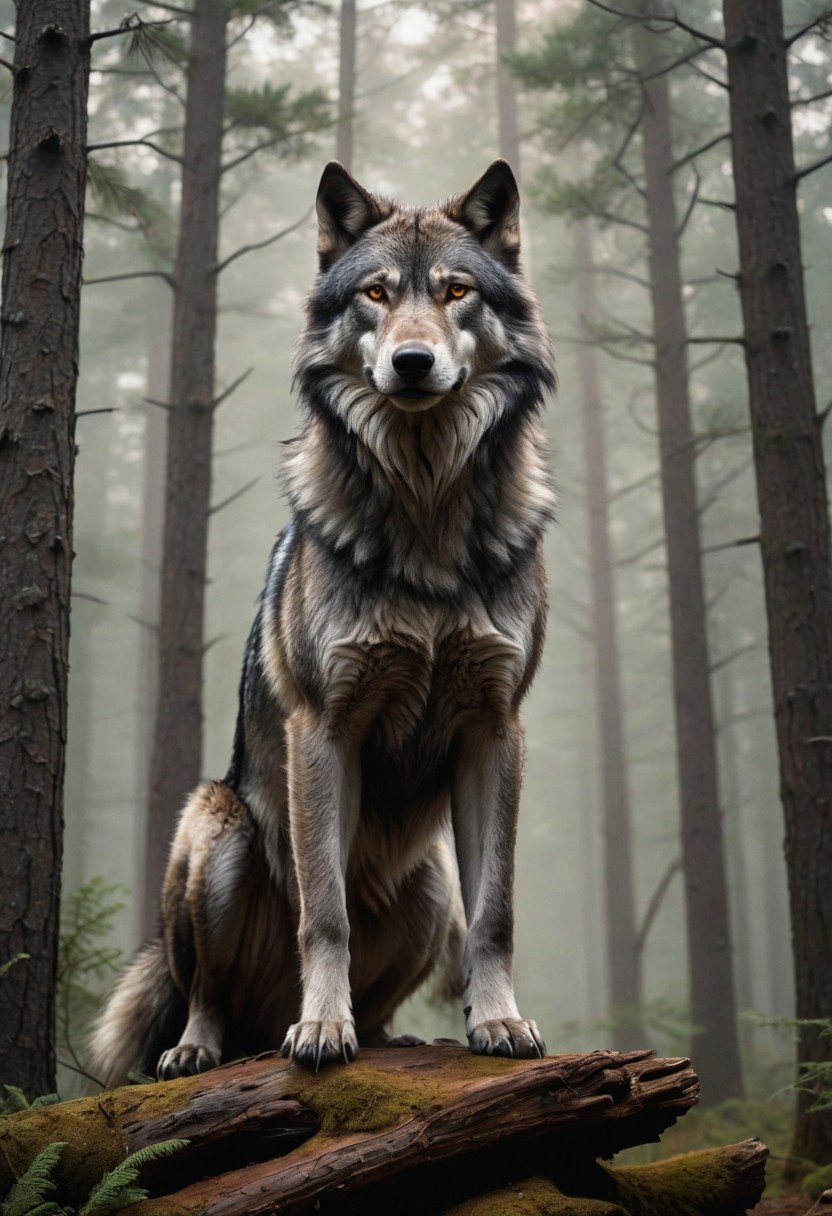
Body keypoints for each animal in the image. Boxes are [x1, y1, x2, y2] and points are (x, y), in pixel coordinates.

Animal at [90, 158, 556, 1084]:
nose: (412, 362)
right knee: (205, 992)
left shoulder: (497, 729)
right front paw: (320, 1029)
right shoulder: (323, 728)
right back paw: (212, 1046)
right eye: (376, 293)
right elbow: (326, 910)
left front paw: (498, 1023)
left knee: (396, 983)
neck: (425, 511)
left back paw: (385, 1035)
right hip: (218, 834)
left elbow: (498, 912)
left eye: (455, 292)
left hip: (431, 886)